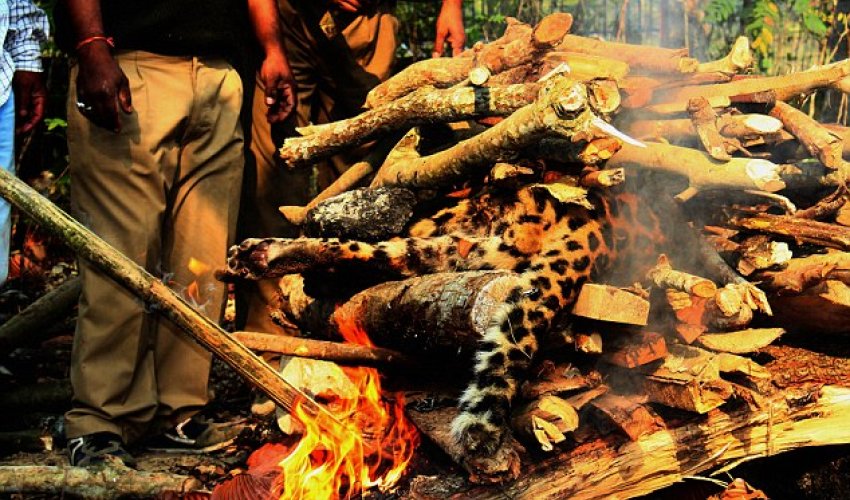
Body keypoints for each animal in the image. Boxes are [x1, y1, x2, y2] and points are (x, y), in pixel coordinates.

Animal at [224, 180, 667, 476]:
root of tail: (588, 225)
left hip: (461, 244)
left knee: (371, 253)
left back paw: (267, 257)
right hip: (471, 248)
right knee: (374, 253)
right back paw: (261, 256)